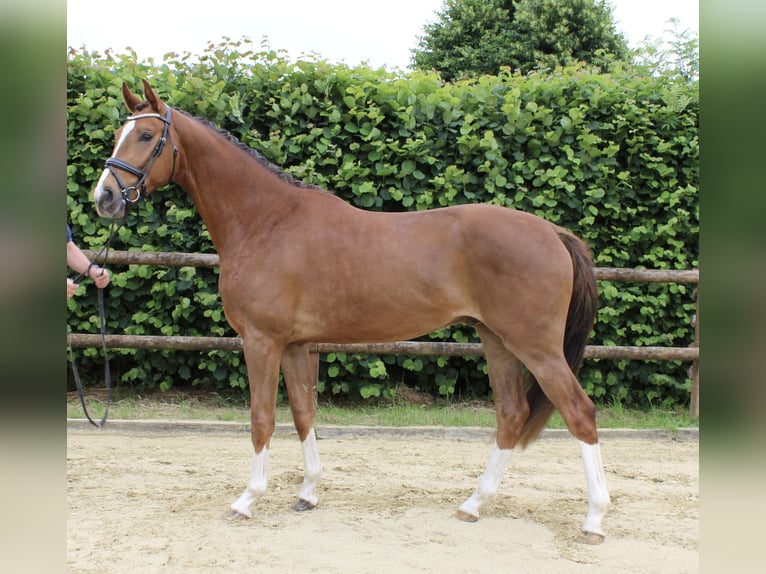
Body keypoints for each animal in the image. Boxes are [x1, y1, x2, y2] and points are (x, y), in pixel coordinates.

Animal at [92, 79, 610, 544]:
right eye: (119, 132)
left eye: (145, 135)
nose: (104, 198)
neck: (266, 222)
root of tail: (552, 232)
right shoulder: (297, 345)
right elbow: (304, 413)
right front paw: (307, 493)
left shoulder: (261, 341)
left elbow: (262, 418)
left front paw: (248, 499)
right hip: (496, 340)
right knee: (511, 413)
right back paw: (473, 504)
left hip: (536, 347)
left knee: (580, 412)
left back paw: (594, 520)